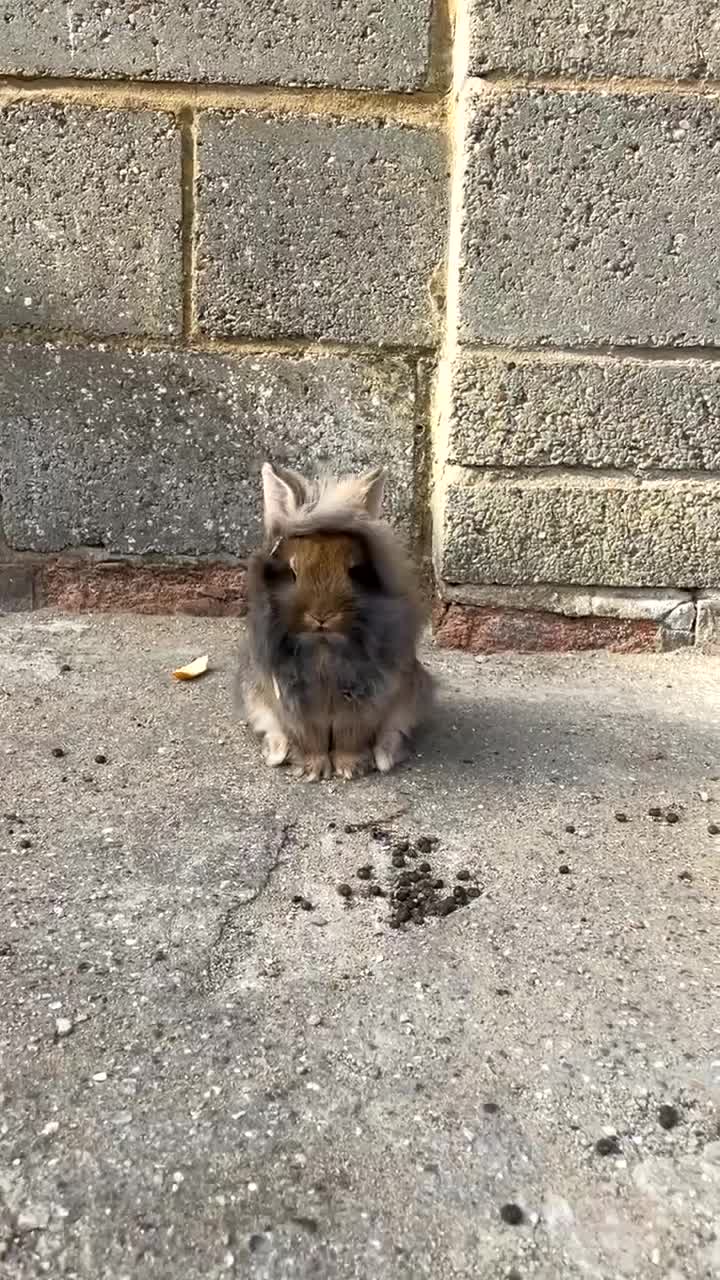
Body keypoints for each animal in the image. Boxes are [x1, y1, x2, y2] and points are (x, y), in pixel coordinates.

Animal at [242, 461, 432, 781]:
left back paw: (384, 757)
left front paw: (349, 768)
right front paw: (314, 770)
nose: (322, 615)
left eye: (354, 571)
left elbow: (349, 736)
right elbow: (312, 738)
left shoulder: (364, 702)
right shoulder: (295, 704)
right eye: (292, 572)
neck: (323, 645)